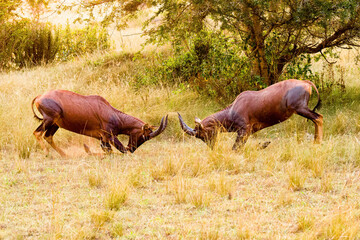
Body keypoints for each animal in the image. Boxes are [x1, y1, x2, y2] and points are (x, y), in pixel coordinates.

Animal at [31, 89, 169, 157]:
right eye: (144, 136)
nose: (132, 149)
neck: (108, 110)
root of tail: (39, 97)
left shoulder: (102, 138)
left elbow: (108, 150)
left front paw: (87, 150)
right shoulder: (110, 136)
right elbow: (117, 151)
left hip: (55, 124)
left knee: (48, 136)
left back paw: (65, 155)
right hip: (50, 119)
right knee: (37, 133)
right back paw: (47, 154)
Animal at [179, 79, 322, 149]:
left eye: (201, 134)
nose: (212, 148)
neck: (233, 108)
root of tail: (306, 83)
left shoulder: (244, 130)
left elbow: (235, 148)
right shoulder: (248, 132)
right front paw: (264, 144)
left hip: (300, 109)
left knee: (318, 118)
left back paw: (317, 143)